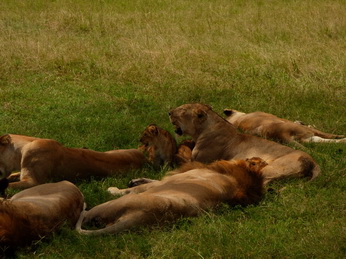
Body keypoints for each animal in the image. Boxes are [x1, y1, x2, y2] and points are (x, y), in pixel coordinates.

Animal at [75, 157, 264, 237]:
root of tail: (143, 218)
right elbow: (152, 179)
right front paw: (135, 180)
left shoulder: (164, 183)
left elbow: (144, 186)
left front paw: (114, 187)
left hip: (110, 205)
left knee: (85, 216)